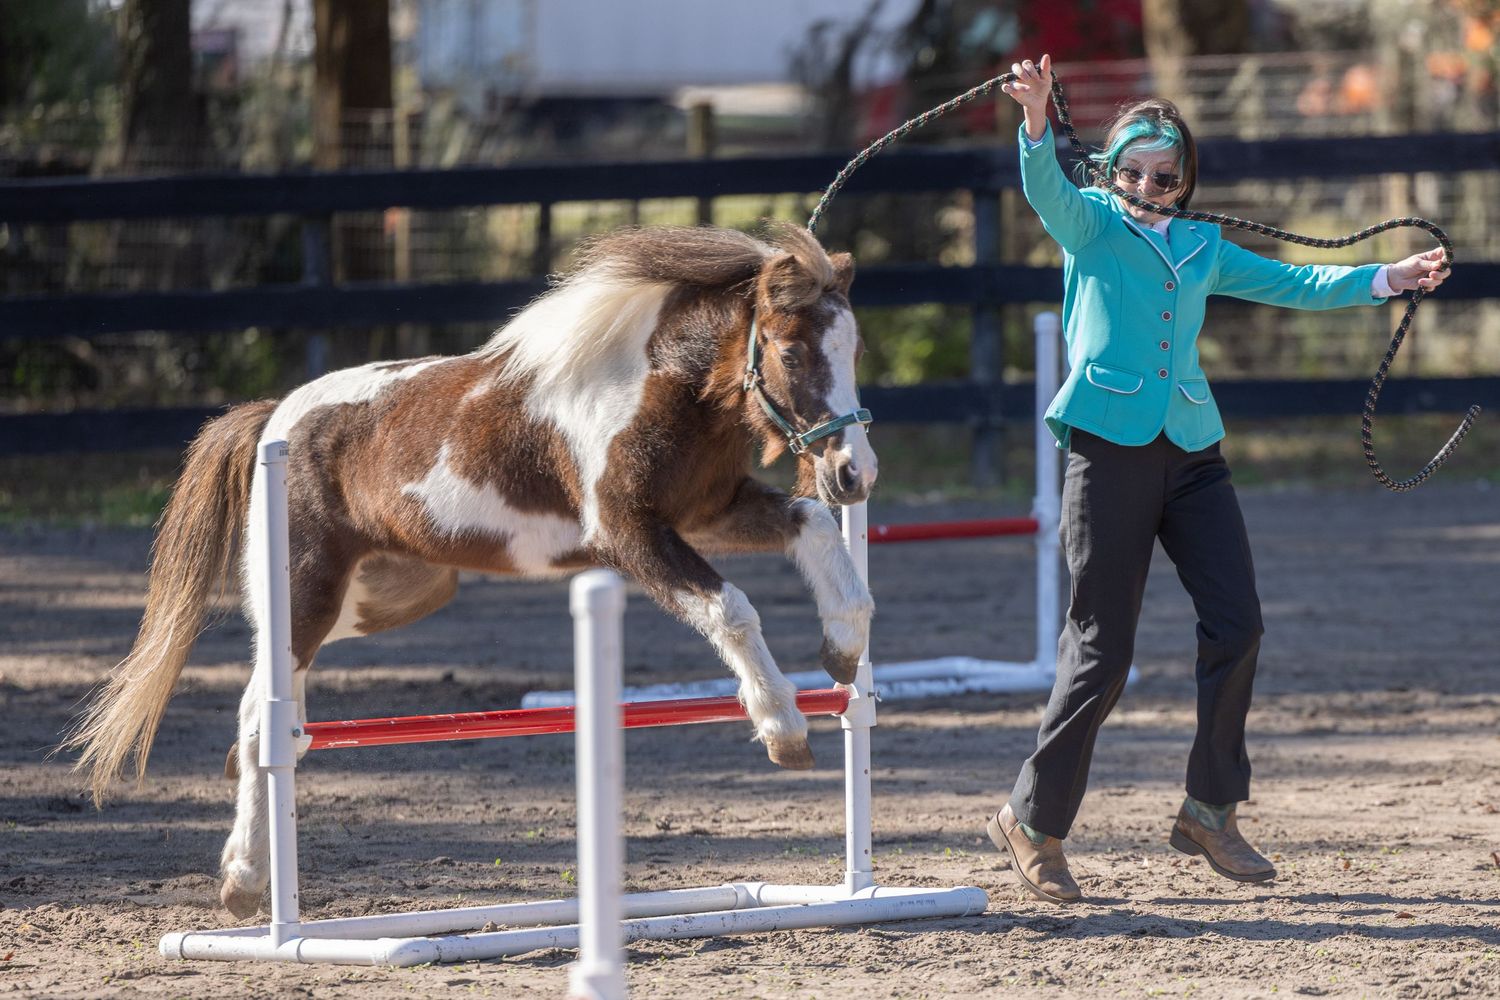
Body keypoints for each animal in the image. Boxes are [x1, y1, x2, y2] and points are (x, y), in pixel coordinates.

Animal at [63, 221, 878, 919]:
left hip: (385, 598)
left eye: (856, 352)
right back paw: (243, 880)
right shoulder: (628, 535)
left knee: (268, 711)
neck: (660, 383)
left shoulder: (708, 512)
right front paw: (782, 726)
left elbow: (812, 530)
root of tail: (273, 418)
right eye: (792, 354)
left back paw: (248, 866)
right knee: (261, 713)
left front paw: (843, 651)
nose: (854, 474)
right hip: (303, 595)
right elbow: (730, 607)